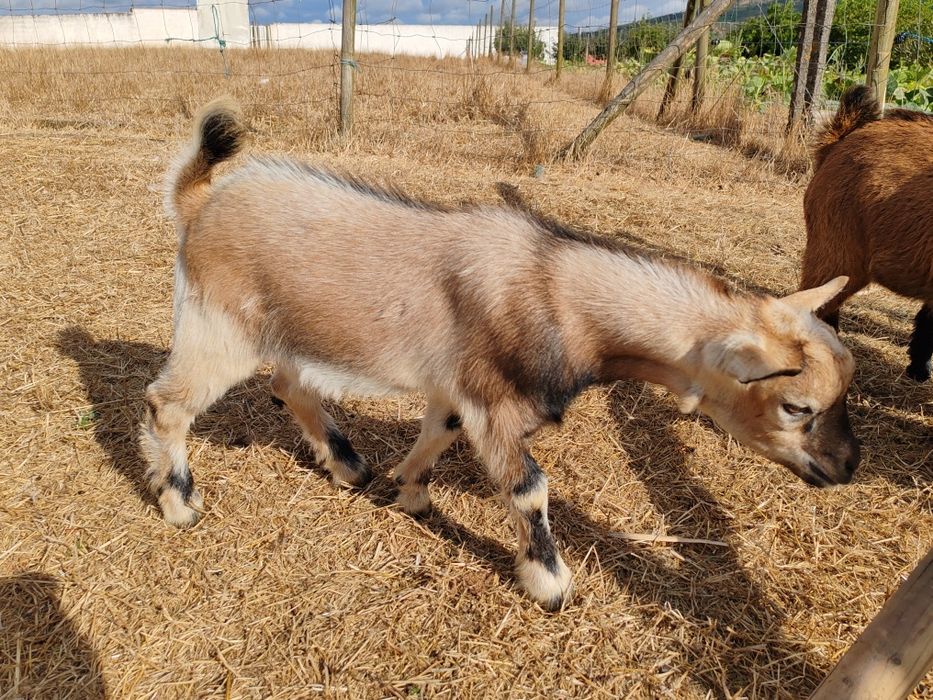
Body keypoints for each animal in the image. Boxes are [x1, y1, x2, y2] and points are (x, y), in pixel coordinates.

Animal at [141, 98, 859, 610]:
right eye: (796, 406)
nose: (846, 468)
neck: (554, 288)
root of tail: (199, 202)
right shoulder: (495, 403)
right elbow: (530, 488)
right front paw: (550, 584)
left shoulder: (459, 392)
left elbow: (437, 432)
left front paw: (408, 491)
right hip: (218, 325)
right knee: (167, 404)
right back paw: (180, 504)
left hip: (290, 330)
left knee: (288, 387)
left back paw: (349, 466)